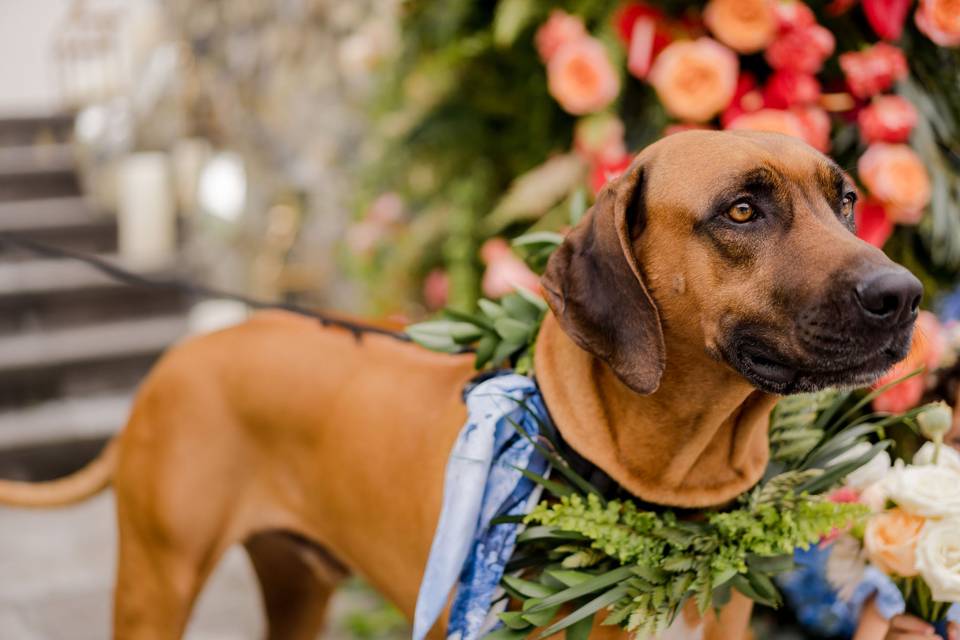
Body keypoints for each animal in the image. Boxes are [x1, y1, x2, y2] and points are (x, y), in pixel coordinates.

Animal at [0, 131, 920, 640]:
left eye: (846, 202)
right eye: (741, 211)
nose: (904, 295)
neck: (663, 485)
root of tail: (181, 354)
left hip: (298, 584)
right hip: (156, 581)